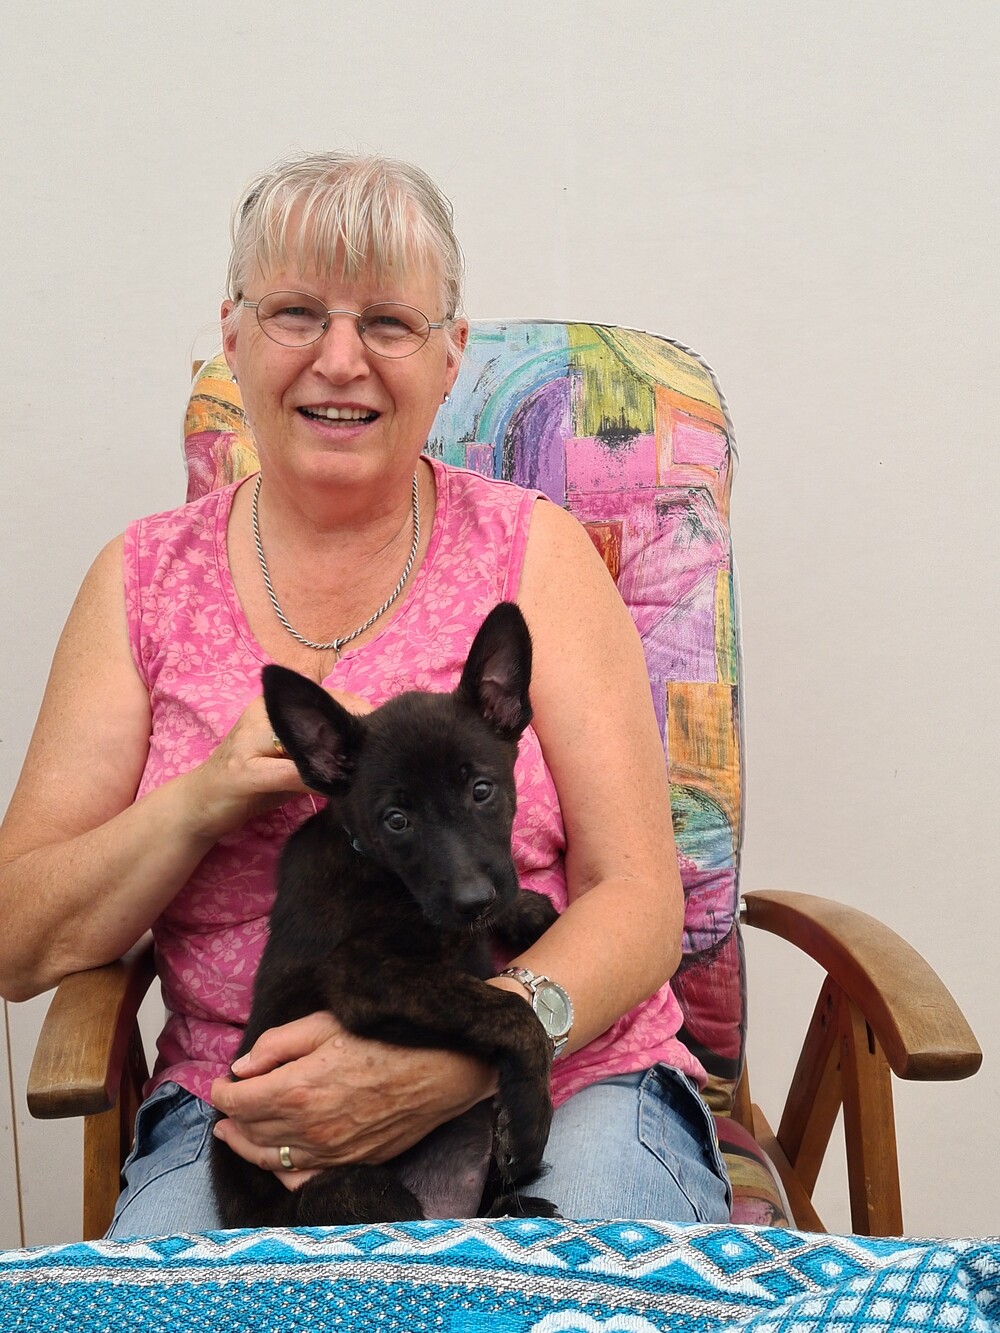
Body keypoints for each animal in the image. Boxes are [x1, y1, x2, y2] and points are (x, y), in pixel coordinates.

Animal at [210, 601, 559, 1226]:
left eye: (482, 790)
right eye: (397, 820)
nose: (475, 900)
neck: (371, 862)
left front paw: (527, 910)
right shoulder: (366, 976)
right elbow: (507, 1010)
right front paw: (528, 1117)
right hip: (364, 1191)